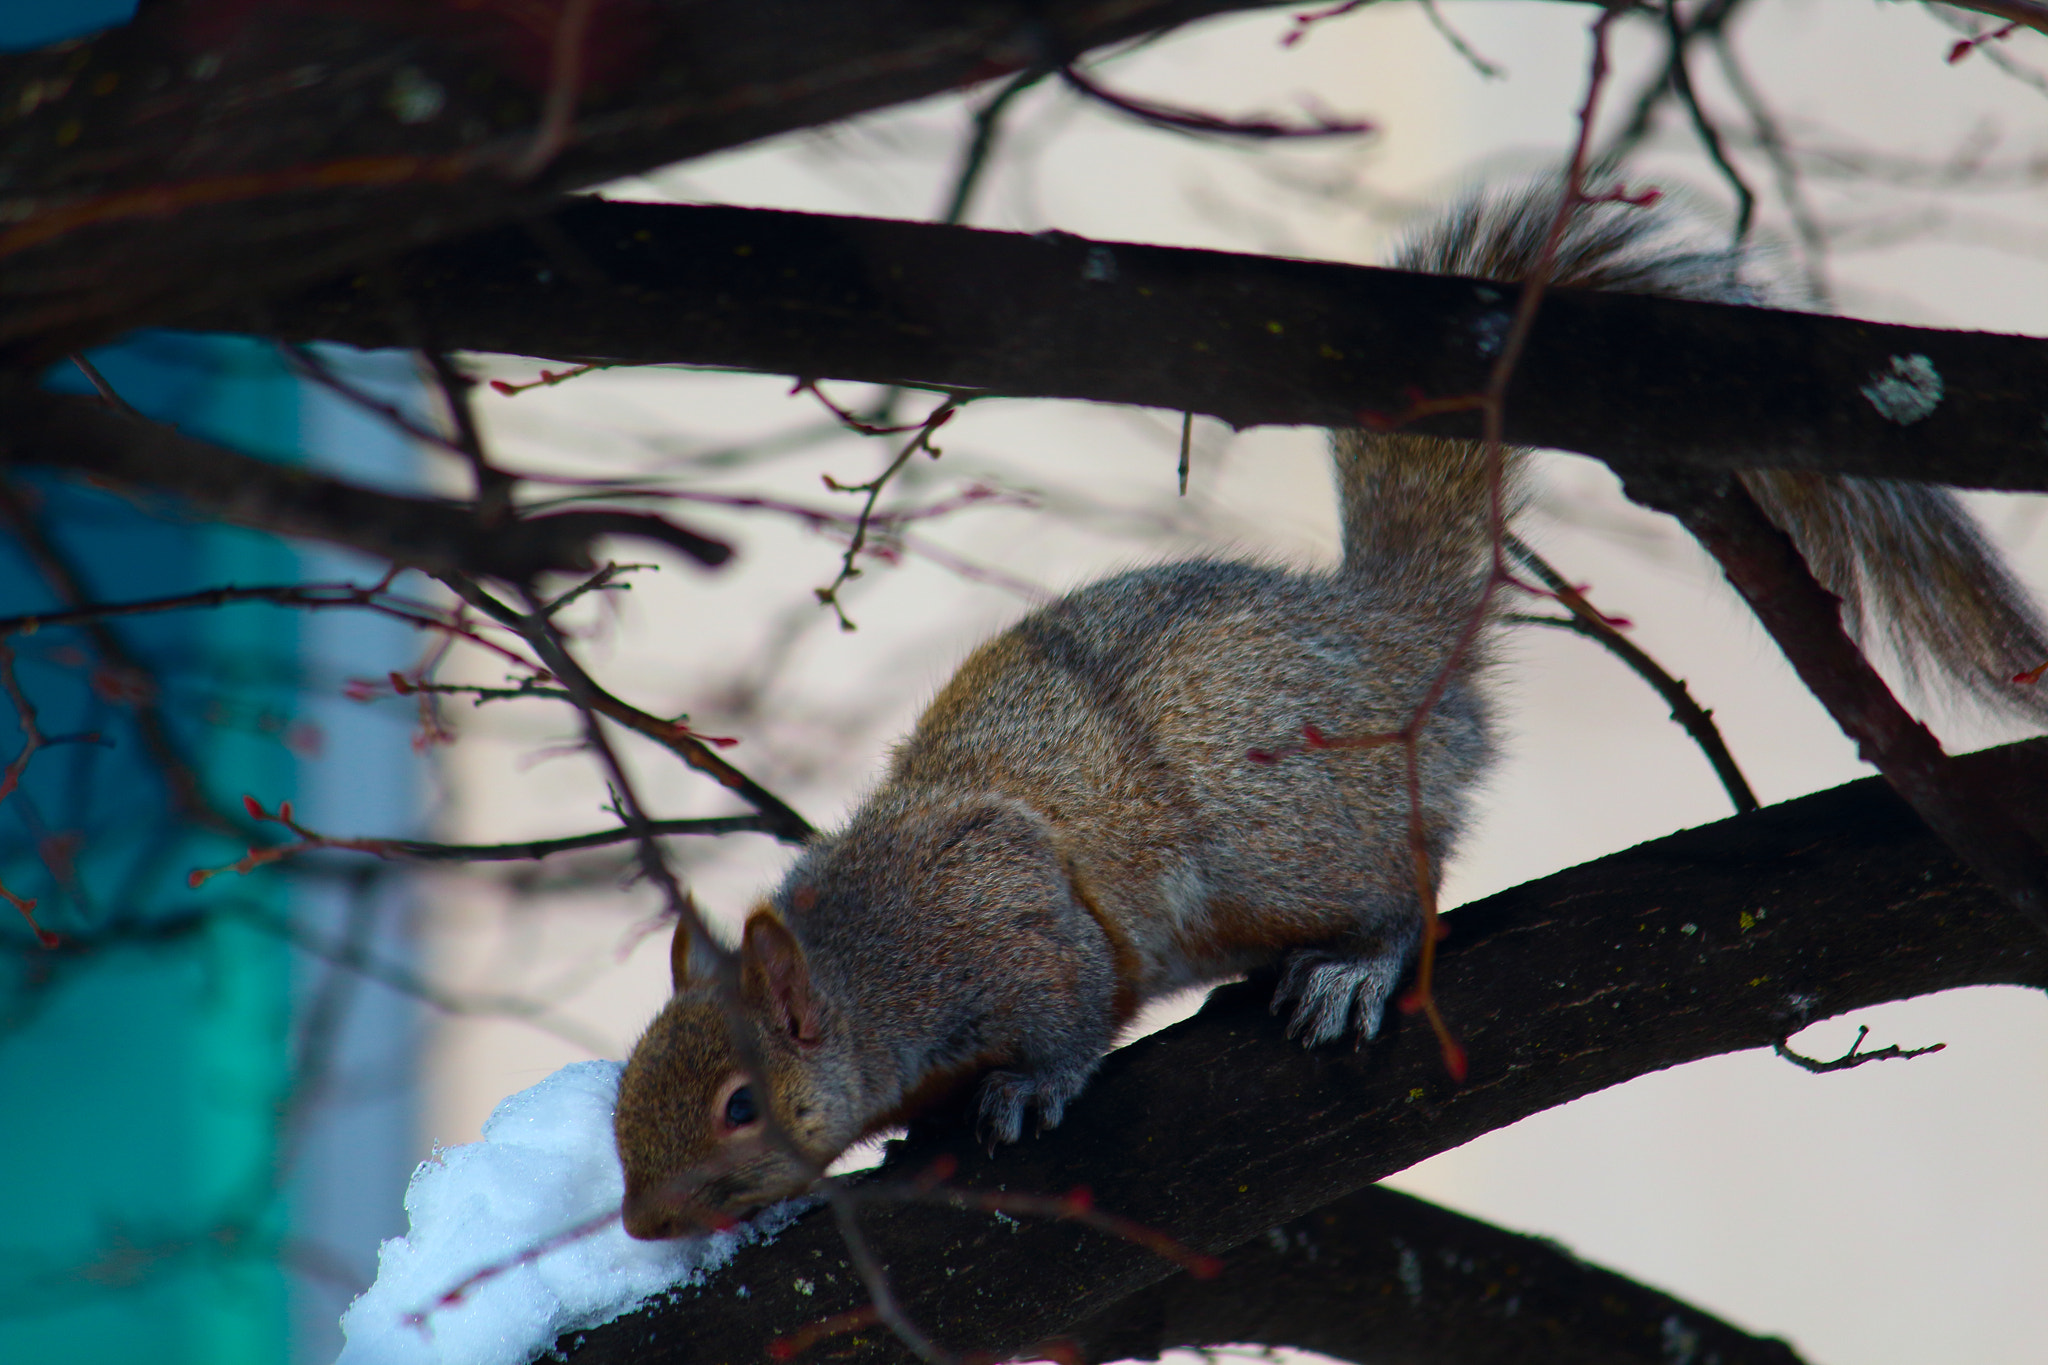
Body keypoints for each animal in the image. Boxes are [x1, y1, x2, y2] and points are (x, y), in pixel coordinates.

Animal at [612, 186, 2048, 1239]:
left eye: (739, 1104)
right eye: (625, 1095)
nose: (638, 1225)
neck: (869, 963)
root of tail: (1395, 645)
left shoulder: (1004, 927)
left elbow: (1067, 1007)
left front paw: (1024, 1091)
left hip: (1288, 821)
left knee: (1408, 882)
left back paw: (1353, 964)